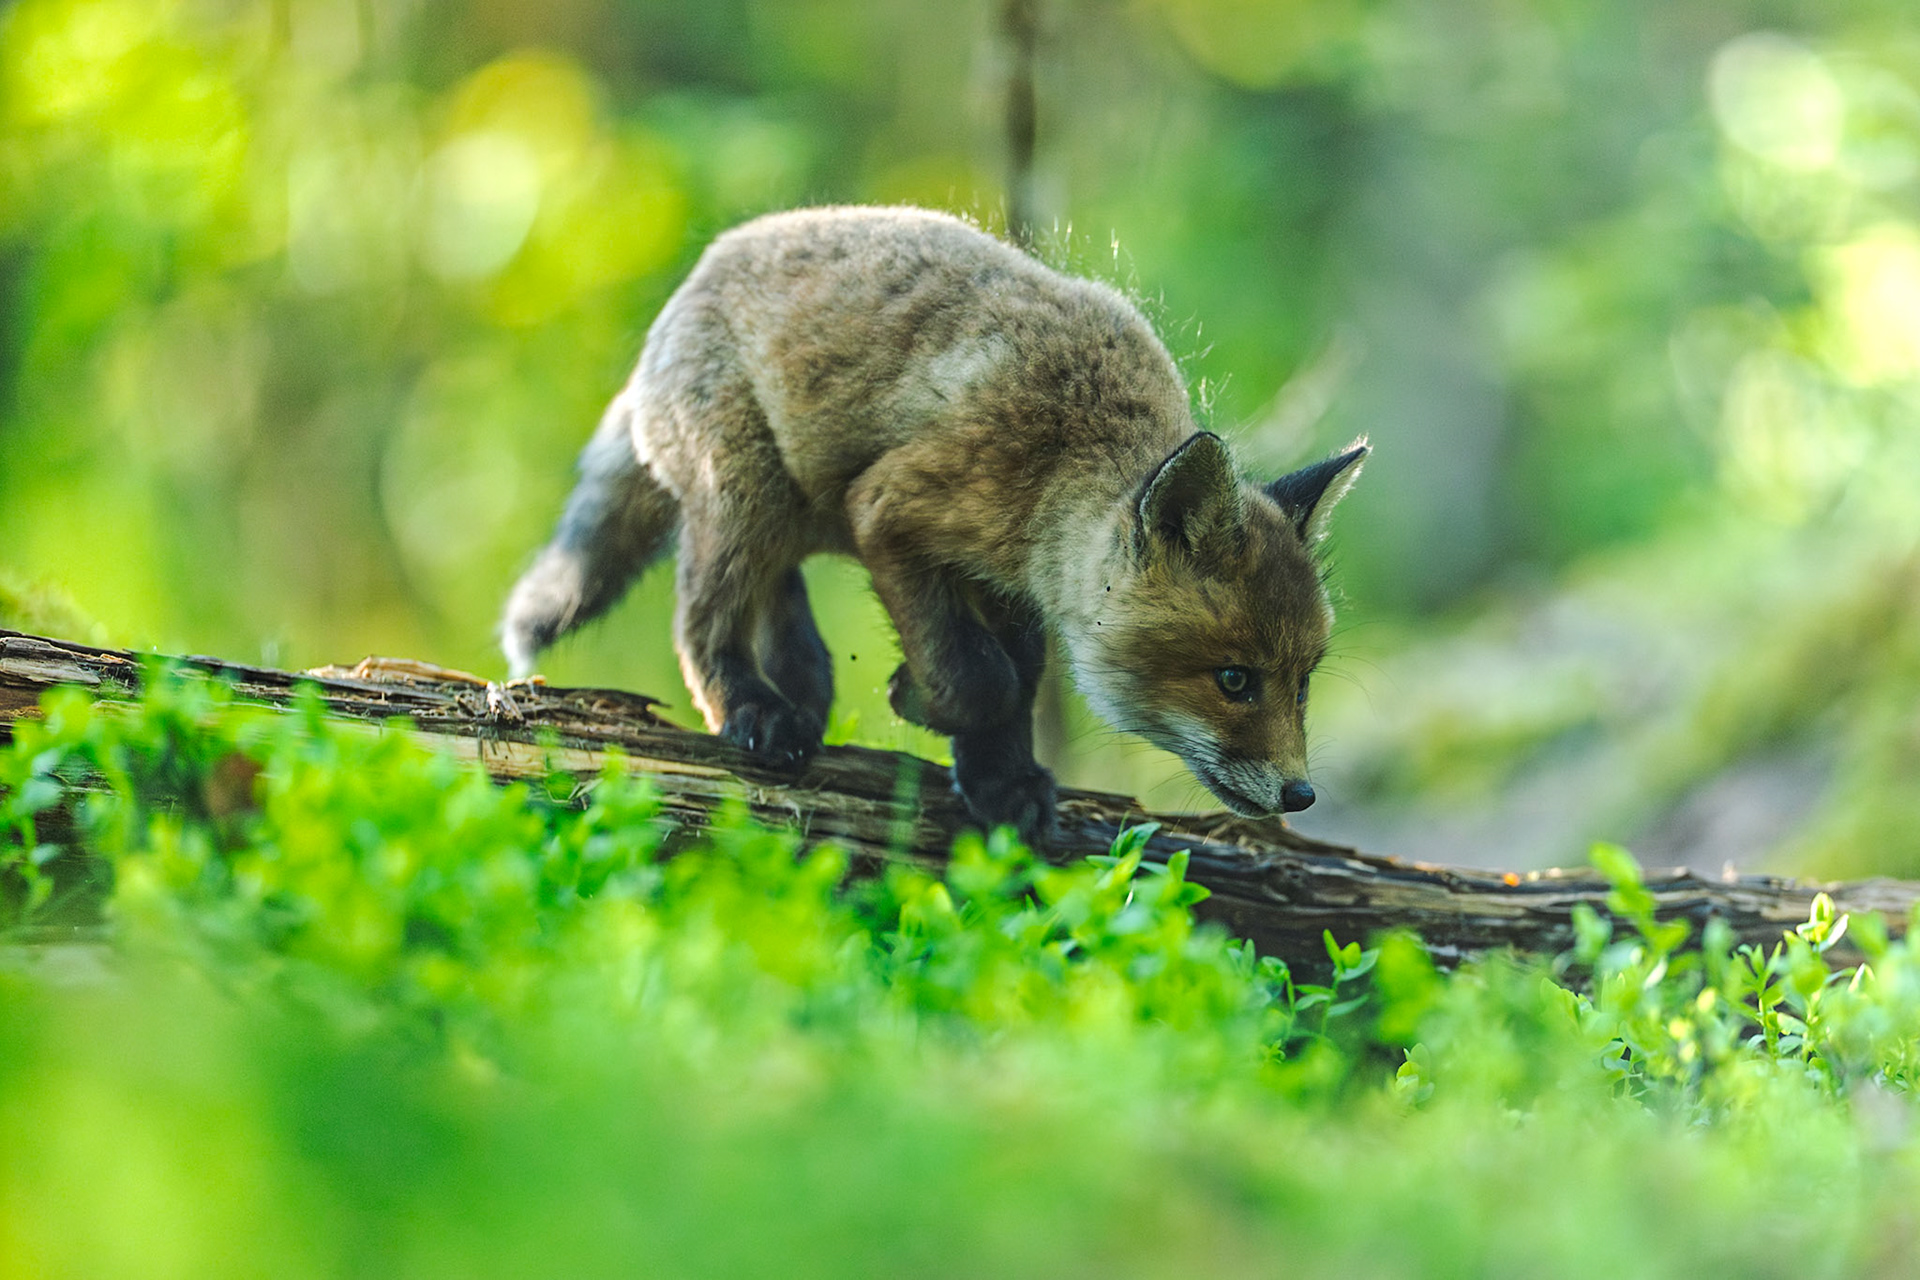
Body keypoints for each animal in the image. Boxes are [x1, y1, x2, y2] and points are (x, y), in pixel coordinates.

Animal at [501, 205, 1367, 841]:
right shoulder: (891, 512)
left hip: (790, 512)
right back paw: (752, 708)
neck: (1062, 459)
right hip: (744, 503)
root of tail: (697, 274)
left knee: (778, 601)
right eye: (1234, 680)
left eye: (1303, 683)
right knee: (702, 622)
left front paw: (1000, 780)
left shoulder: (1009, 579)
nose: (1300, 795)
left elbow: (1017, 678)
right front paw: (918, 700)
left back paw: (804, 692)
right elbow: (982, 678)